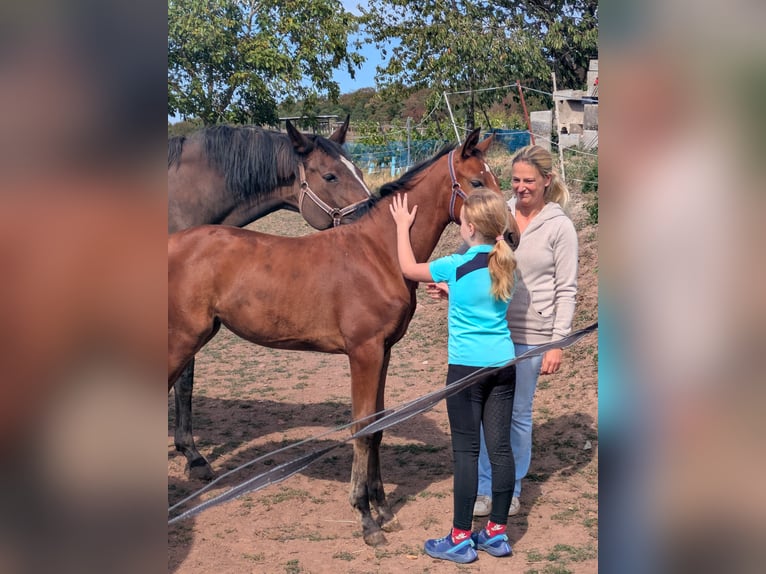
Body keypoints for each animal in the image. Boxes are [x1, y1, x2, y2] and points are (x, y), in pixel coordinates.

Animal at [168, 128, 513, 546]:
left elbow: (377, 428)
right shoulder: (363, 352)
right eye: (477, 182)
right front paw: (366, 520)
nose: (511, 234)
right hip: (181, 340)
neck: (379, 252)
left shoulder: (383, 352)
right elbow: (362, 429)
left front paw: (384, 512)